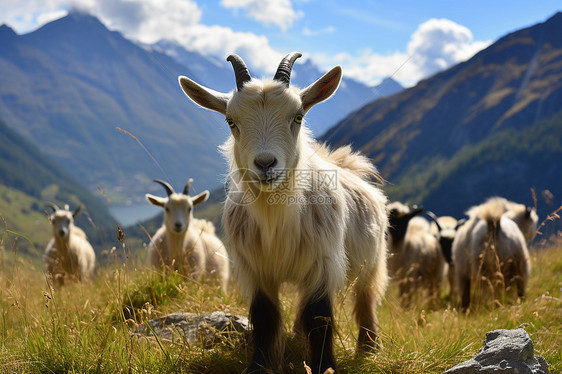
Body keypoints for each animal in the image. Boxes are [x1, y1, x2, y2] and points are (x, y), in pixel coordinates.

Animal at [177, 51, 388, 372]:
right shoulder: (256, 269)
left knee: (365, 299)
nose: (265, 164)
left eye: (298, 116)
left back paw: (369, 348)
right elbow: (265, 318)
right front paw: (260, 366)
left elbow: (320, 317)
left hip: (372, 261)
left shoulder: (322, 265)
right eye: (230, 120)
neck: (275, 220)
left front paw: (325, 366)